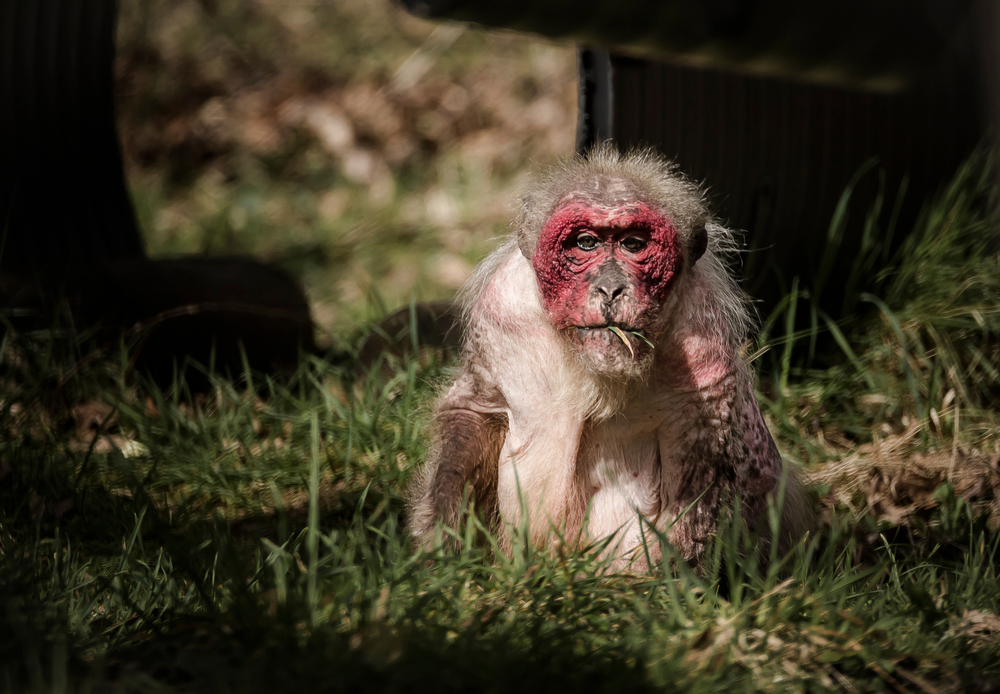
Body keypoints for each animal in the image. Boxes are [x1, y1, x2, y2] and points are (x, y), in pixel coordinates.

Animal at [408, 144, 813, 572]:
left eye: (633, 244)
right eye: (586, 243)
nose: (610, 287)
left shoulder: (704, 342)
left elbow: (705, 487)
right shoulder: (501, 308)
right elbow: (473, 410)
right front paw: (444, 534)